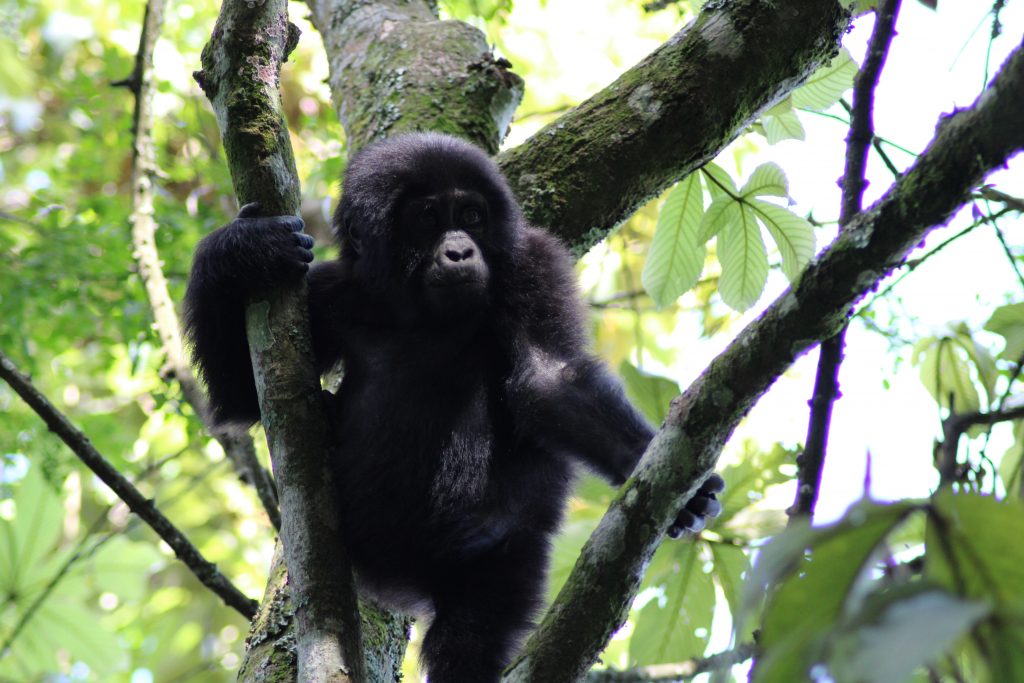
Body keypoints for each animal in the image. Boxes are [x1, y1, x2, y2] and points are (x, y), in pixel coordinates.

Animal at [186, 133, 729, 683]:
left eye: (471, 215)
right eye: (427, 218)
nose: (459, 249)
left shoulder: (534, 264)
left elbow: (548, 378)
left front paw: (668, 476)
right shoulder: (329, 292)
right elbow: (243, 395)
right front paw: (239, 250)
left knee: (469, 636)